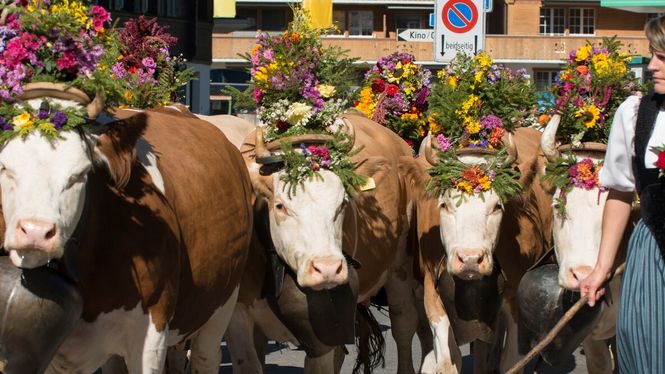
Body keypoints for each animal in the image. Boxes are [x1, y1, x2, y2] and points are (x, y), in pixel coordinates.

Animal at [0, 101, 253, 372]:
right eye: (4, 167)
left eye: (81, 173)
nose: (36, 231)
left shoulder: (151, 335)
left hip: (223, 301)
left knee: (205, 356)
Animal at [222, 111, 420, 374]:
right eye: (280, 206)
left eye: (343, 203)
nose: (328, 269)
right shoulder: (239, 319)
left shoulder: (323, 334)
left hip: (400, 267)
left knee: (404, 324)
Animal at [402, 127, 552, 372]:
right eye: (444, 205)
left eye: (497, 206)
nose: (470, 259)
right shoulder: (431, 290)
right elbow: (447, 361)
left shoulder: (514, 295)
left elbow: (511, 360)